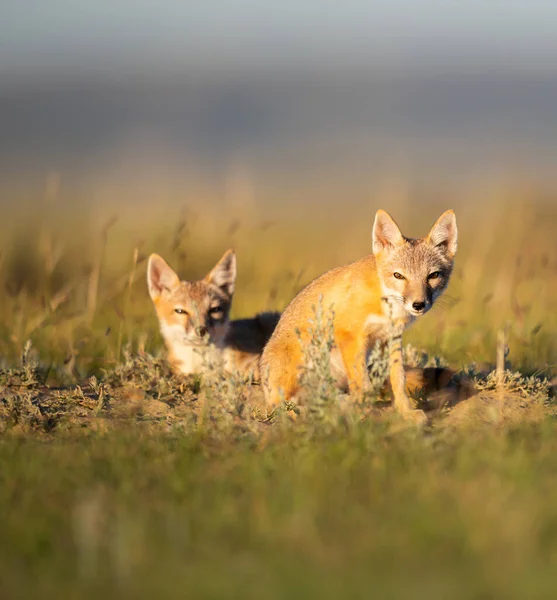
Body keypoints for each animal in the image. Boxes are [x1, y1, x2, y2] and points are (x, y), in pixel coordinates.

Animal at [262, 210, 458, 422]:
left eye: (433, 275)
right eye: (398, 276)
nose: (419, 304)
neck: (386, 305)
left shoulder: (391, 338)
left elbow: (398, 379)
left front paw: (405, 412)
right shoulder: (349, 336)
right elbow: (363, 385)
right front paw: (365, 415)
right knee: (280, 405)